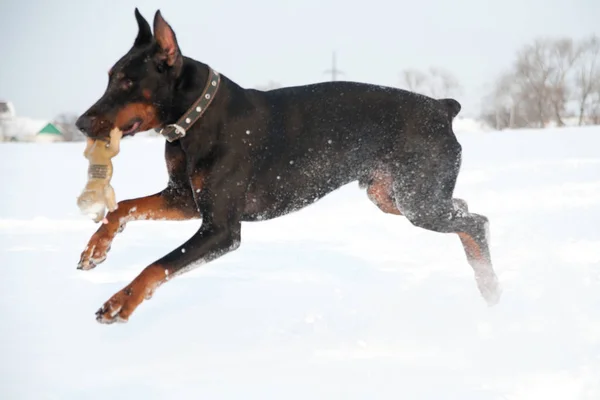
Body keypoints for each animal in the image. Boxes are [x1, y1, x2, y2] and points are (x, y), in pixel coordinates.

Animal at [75, 7, 500, 324]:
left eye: (127, 81)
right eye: (110, 77)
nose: (80, 123)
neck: (195, 120)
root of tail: (443, 107)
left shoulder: (221, 229)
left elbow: (157, 266)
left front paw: (119, 302)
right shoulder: (184, 199)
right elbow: (124, 207)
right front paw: (96, 248)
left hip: (416, 201)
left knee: (475, 222)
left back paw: (490, 288)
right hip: (391, 195)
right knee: (465, 211)